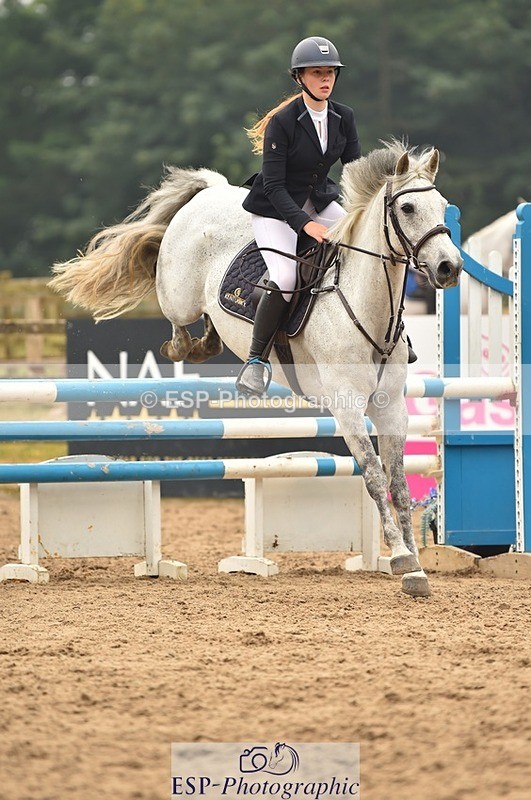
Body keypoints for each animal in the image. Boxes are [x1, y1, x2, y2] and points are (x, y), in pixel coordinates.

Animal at [49, 141, 463, 598]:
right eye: (407, 207)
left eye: (442, 205)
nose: (450, 268)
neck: (367, 306)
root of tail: (211, 189)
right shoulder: (347, 407)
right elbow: (373, 475)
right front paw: (402, 556)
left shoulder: (391, 408)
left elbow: (399, 483)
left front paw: (417, 570)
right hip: (178, 294)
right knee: (178, 319)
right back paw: (188, 347)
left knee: (211, 325)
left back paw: (210, 345)